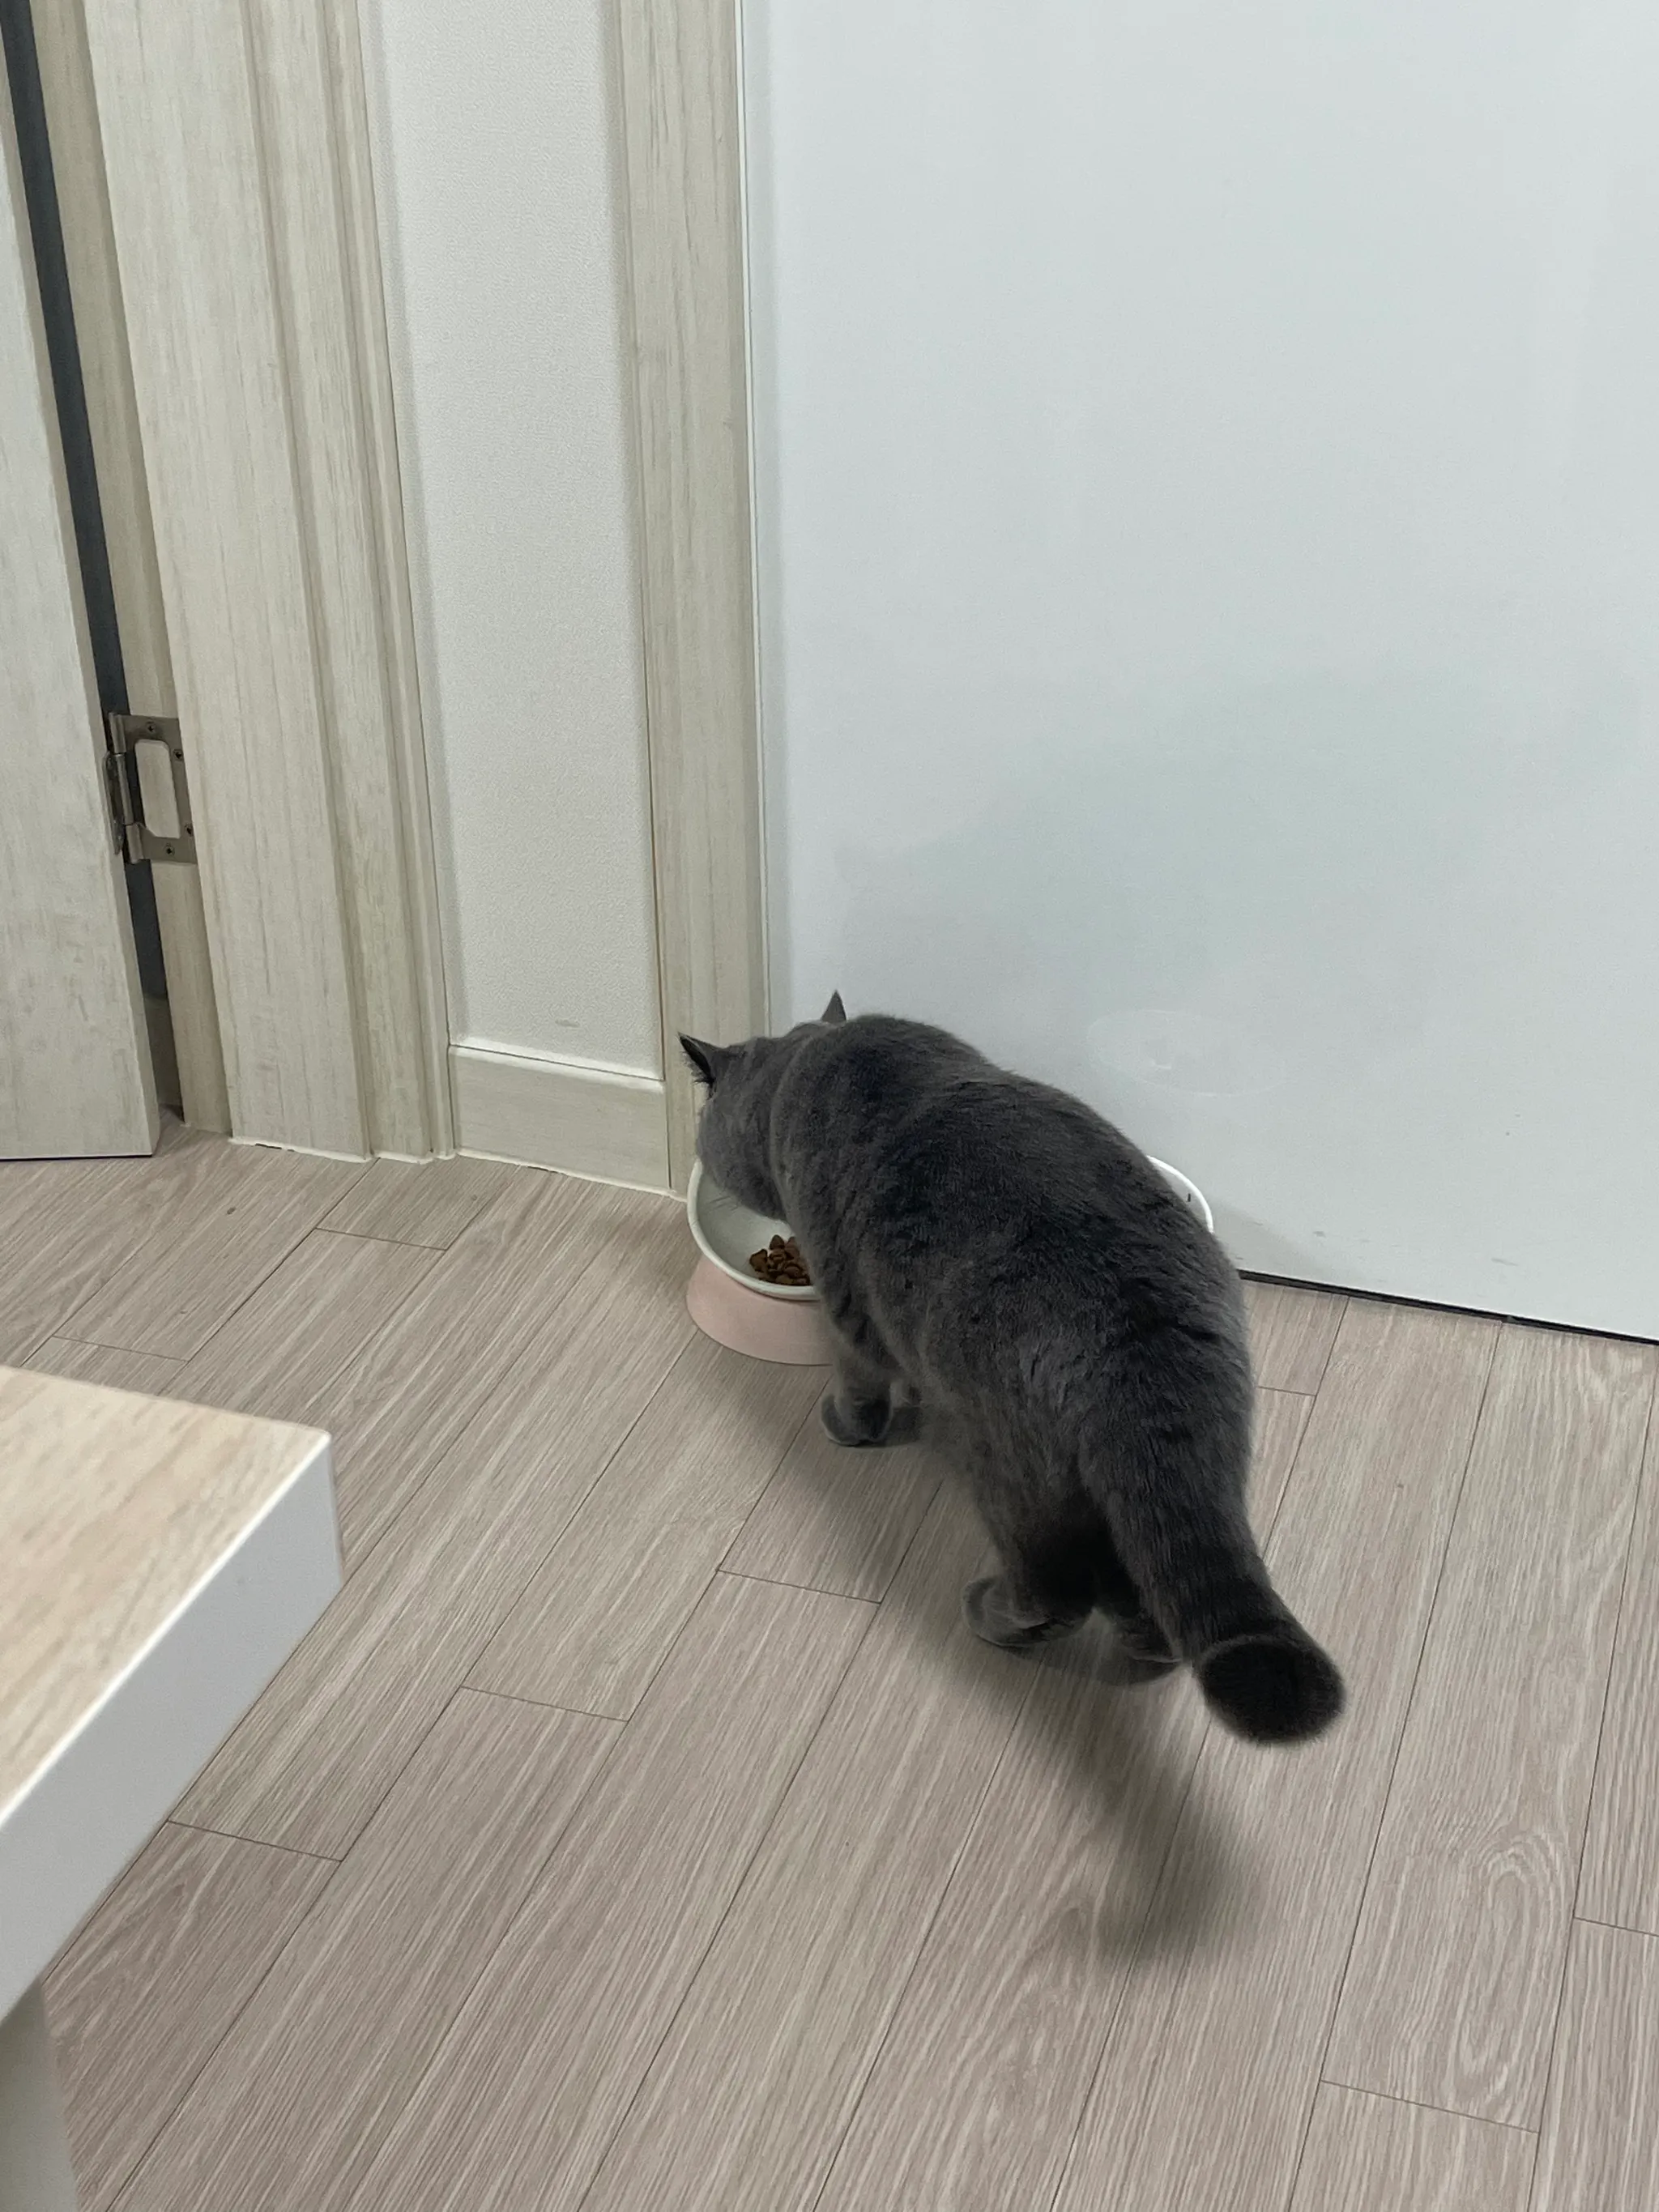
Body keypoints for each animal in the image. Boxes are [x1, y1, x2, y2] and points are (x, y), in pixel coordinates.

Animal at [682, 995, 1344, 1745]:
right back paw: (1142, 1649)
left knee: (1056, 1591)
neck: (802, 1068)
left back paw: (989, 1614)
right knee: (1146, 1583)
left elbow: (858, 1374)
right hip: (1153, 1478)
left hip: (1012, 1473)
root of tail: (1142, 1335)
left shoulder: (845, 1298)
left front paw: (845, 1424)